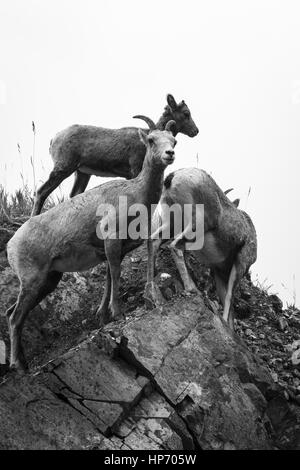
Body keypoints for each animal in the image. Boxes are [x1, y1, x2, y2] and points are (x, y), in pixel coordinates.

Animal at [5, 115, 177, 370]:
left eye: (174, 140)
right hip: (32, 281)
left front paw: (103, 315)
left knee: (12, 314)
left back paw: (23, 363)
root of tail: (11, 244)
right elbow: (115, 274)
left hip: (48, 281)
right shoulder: (112, 241)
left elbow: (108, 277)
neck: (135, 195)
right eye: (151, 140)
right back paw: (18, 366)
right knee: (15, 318)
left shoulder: (115, 249)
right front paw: (117, 313)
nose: (169, 154)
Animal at [31, 95, 199, 217]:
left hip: (82, 174)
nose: (195, 131)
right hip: (63, 169)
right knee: (42, 192)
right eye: (186, 113)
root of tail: (54, 138)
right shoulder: (135, 171)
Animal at [146, 167, 256, 328]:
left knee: (153, 242)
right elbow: (229, 298)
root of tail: (172, 178)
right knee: (175, 247)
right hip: (196, 225)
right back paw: (190, 289)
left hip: (171, 224)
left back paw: (151, 287)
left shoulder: (219, 271)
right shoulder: (240, 264)